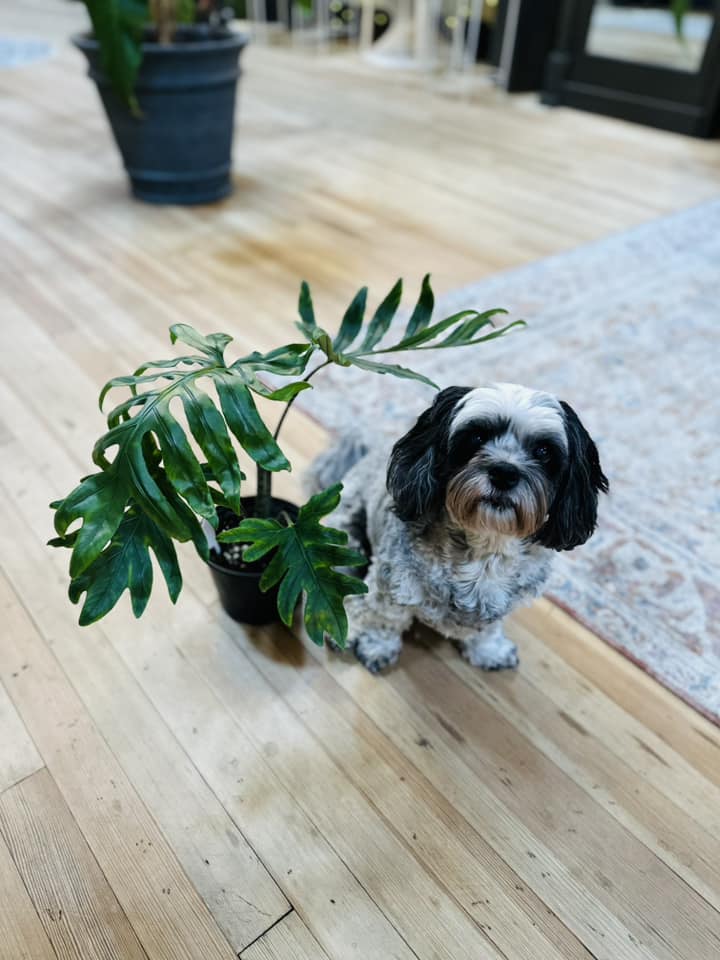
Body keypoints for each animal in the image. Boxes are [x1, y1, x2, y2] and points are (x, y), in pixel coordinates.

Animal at [312, 382, 612, 676]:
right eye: (477, 437)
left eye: (543, 451)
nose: (504, 473)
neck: (485, 549)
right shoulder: (393, 586)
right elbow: (385, 618)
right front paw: (376, 646)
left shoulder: (501, 605)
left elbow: (487, 630)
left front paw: (489, 651)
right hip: (345, 539)